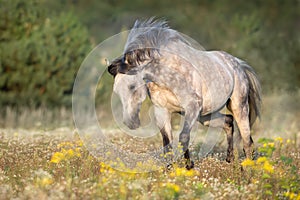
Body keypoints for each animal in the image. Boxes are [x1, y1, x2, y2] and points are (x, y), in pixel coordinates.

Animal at [107, 18, 260, 169]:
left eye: (132, 87)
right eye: (116, 91)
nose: (130, 123)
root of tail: (238, 64)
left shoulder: (192, 107)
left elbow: (183, 137)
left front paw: (189, 166)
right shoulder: (162, 111)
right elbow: (167, 142)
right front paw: (170, 169)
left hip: (238, 107)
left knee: (247, 141)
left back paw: (247, 167)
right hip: (204, 116)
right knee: (228, 121)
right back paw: (229, 159)